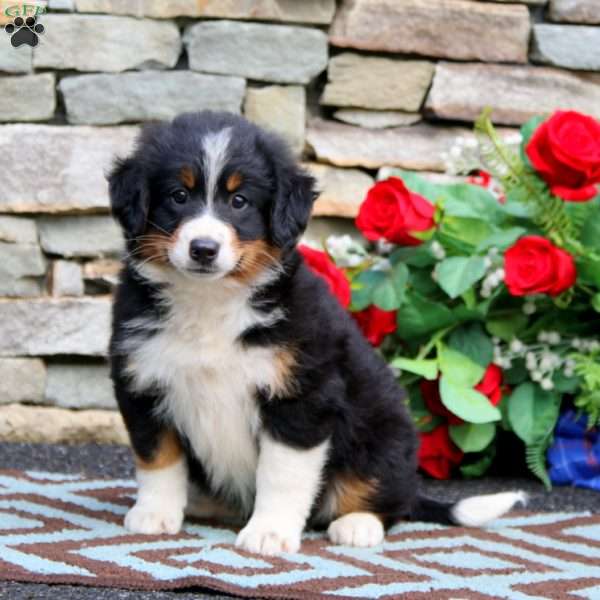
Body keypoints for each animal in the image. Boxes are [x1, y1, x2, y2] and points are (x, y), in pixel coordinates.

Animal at [108, 111, 524, 552]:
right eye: (178, 196)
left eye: (239, 201)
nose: (203, 248)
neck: (210, 301)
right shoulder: (143, 383)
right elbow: (158, 459)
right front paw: (154, 513)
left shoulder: (303, 395)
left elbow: (281, 475)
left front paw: (269, 532)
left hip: (382, 434)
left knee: (390, 495)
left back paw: (358, 524)